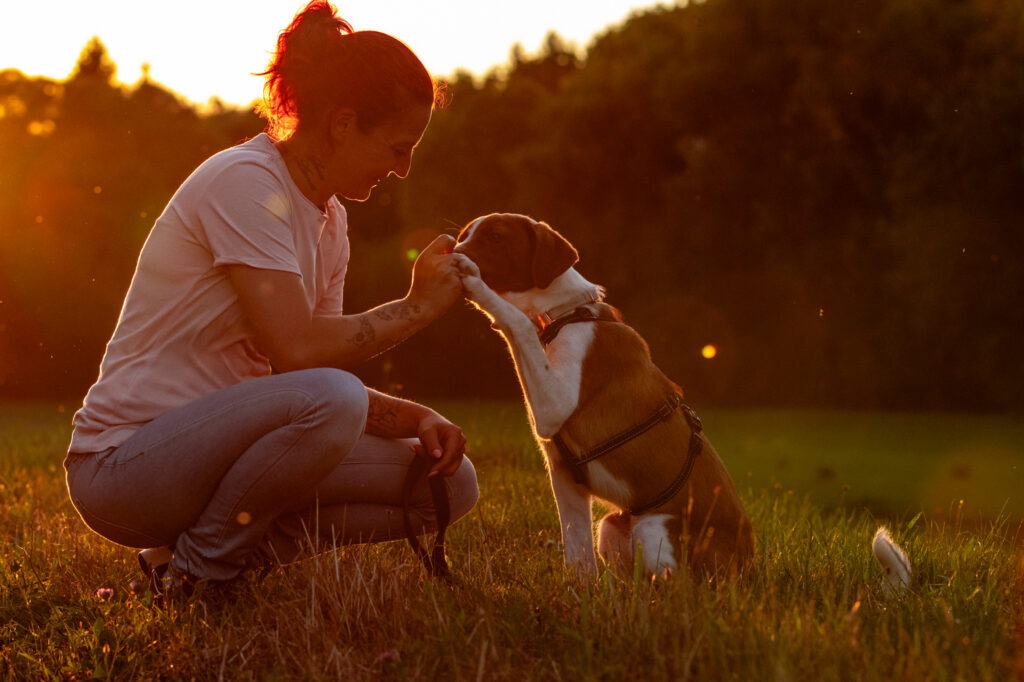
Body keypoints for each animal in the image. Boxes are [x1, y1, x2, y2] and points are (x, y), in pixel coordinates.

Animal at [453, 213, 755, 579]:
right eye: (462, 236)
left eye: (495, 237)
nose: (451, 251)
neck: (564, 313)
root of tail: (749, 560)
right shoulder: (565, 478)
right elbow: (577, 552)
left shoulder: (553, 405)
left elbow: (517, 323)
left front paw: (475, 282)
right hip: (613, 525)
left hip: (654, 527)